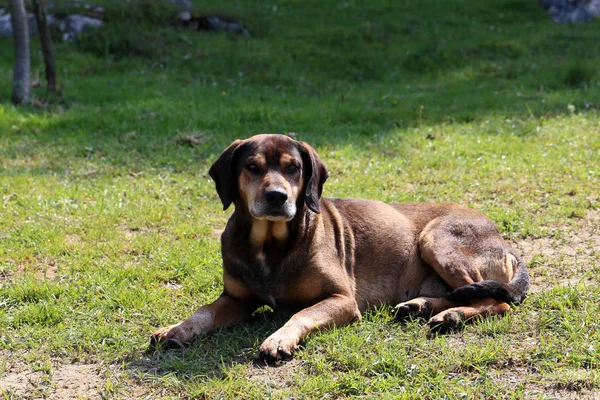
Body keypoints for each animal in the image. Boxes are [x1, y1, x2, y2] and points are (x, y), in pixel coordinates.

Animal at [151, 134, 528, 362]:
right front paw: (177, 329)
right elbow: (204, 311)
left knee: (496, 300)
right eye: (252, 167)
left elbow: (302, 313)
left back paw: (451, 316)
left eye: (294, 168)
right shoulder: (236, 299)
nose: (276, 197)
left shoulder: (341, 299)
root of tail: (504, 242)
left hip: (435, 239)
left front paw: (279, 339)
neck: (270, 245)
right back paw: (419, 306)